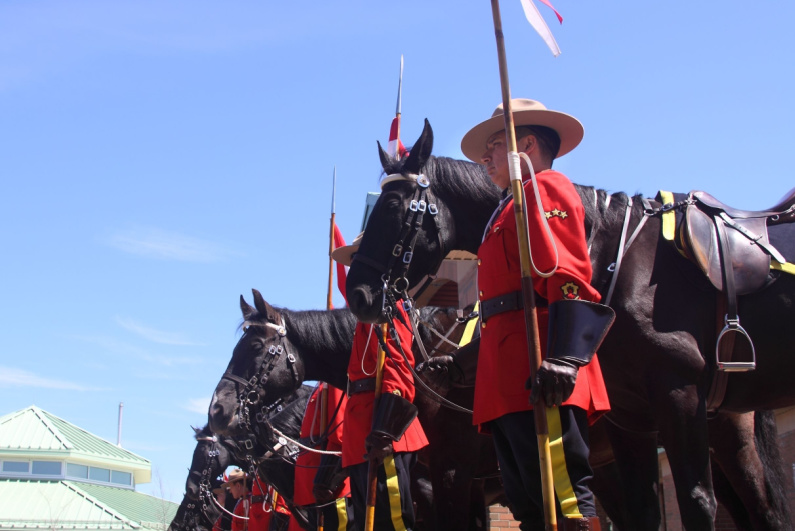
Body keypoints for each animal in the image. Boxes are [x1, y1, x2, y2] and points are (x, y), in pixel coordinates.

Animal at [346, 121, 792, 531]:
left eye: (392, 206)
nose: (358, 294)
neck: (615, 256)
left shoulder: (678, 393)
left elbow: (696, 502)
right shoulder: (630, 416)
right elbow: (643, 510)